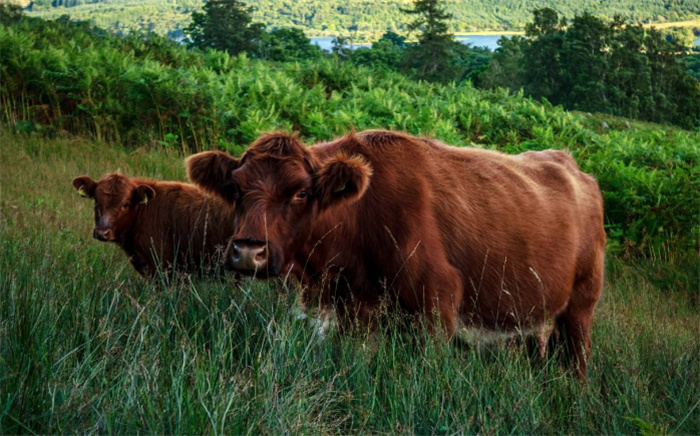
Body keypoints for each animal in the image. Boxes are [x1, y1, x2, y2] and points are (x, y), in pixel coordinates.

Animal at [187, 129, 608, 374]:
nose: (247, 251)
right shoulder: (352, 313)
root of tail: (573, 166)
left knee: (578, 362)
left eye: (301, 192)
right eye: (236, 188)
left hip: (580, 308)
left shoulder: (437, 305)